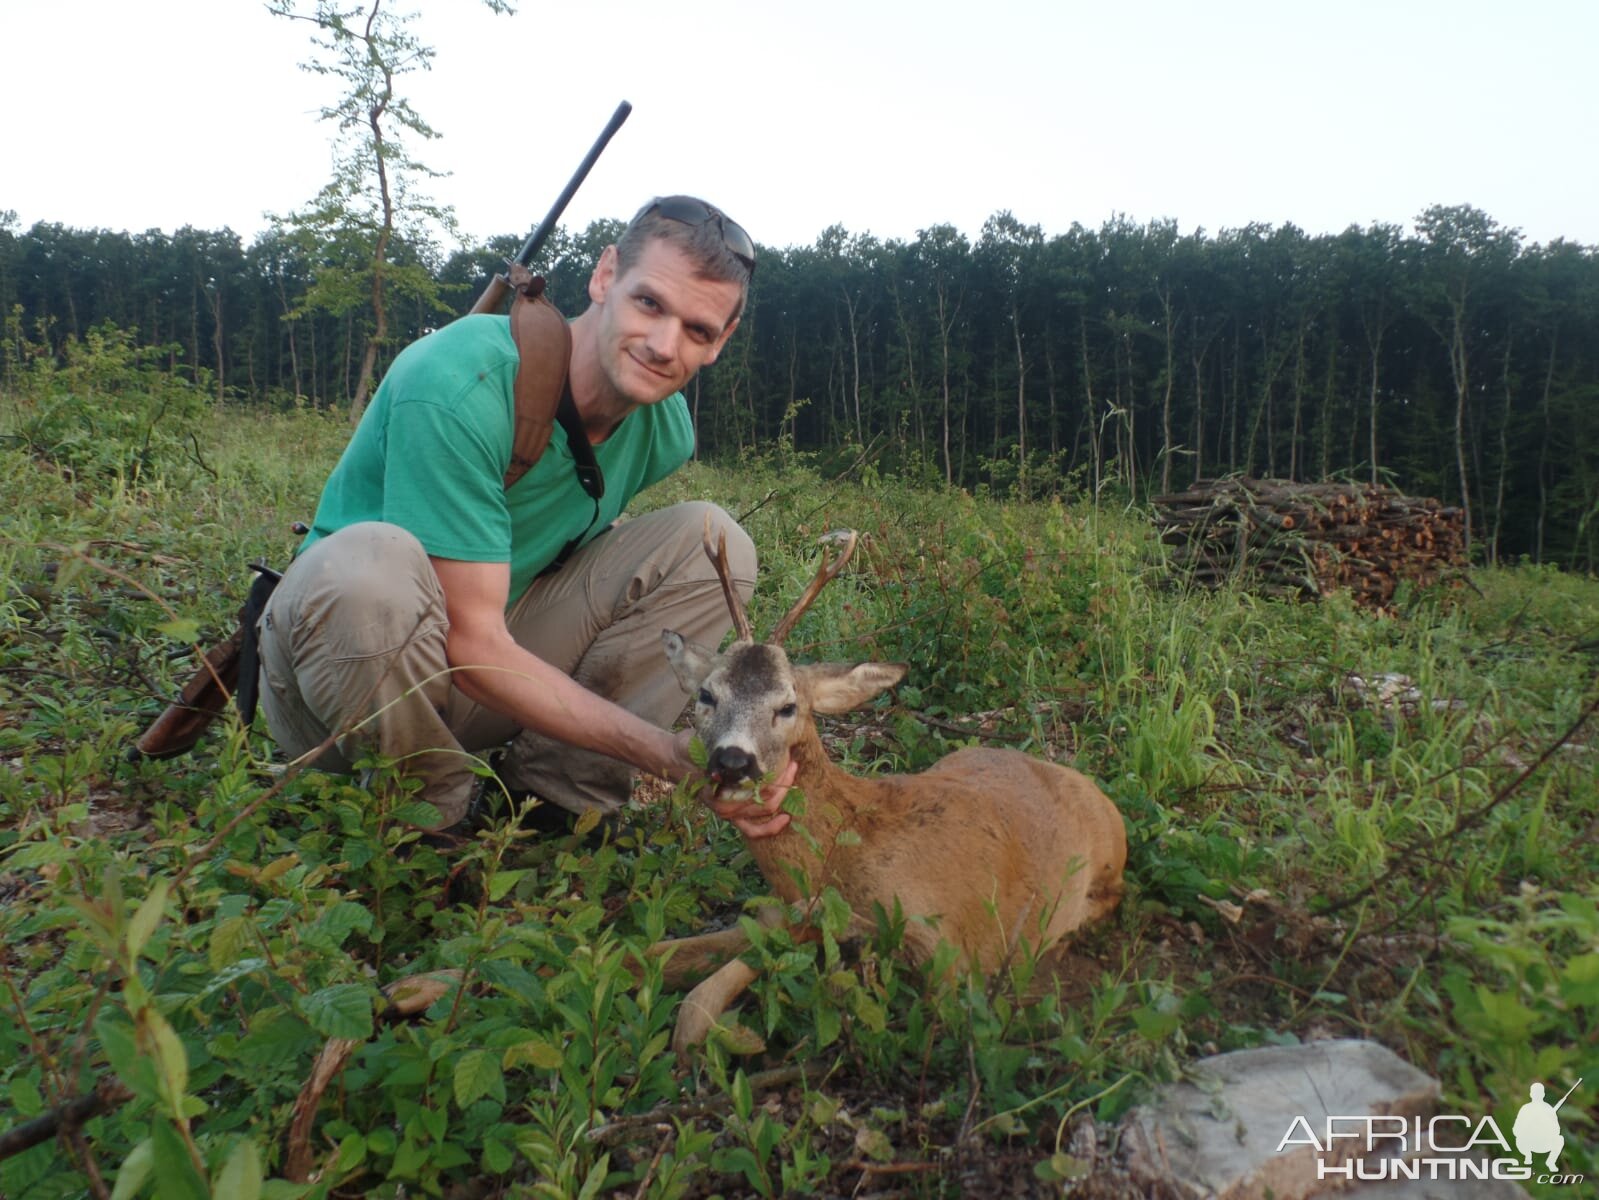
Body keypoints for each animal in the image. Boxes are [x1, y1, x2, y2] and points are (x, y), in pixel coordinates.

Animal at [649, 521, 1125, 1056]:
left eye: (788, 706)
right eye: (707, 695)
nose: (732, 762)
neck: (848, 842)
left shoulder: (942, 950)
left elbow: (700, 1005)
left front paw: (738, 1032)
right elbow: (651, 955)